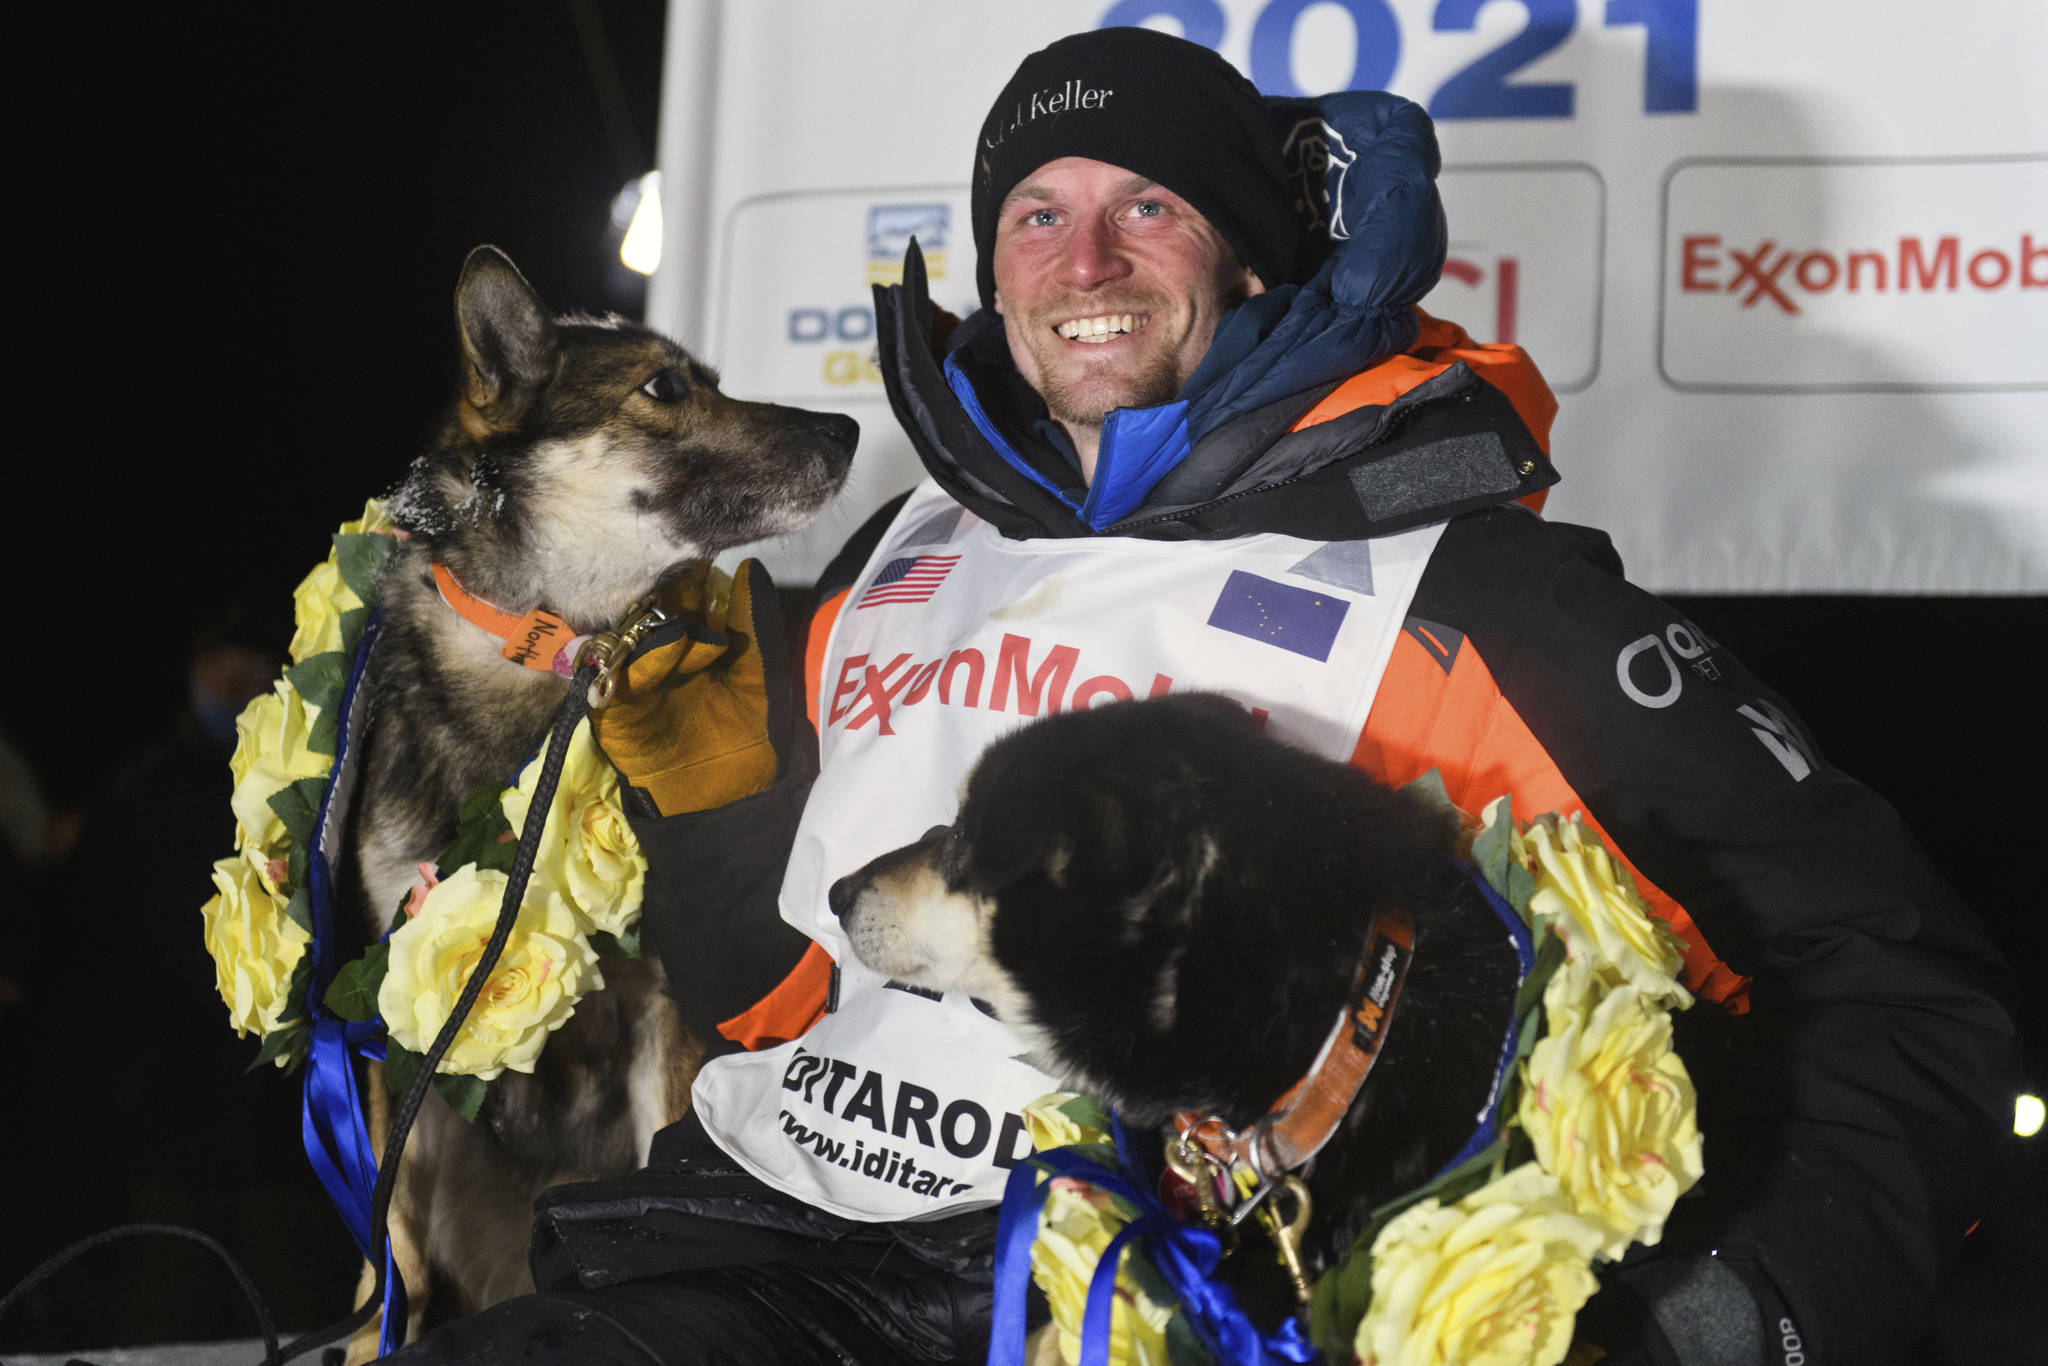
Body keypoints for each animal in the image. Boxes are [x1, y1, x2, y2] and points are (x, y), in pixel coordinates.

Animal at [342, 248, 847, 1359]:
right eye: (663, 387)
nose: (848, 430)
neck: (558, 654)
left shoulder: (666, 1004)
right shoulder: (386, 1013)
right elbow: (387, 1249)